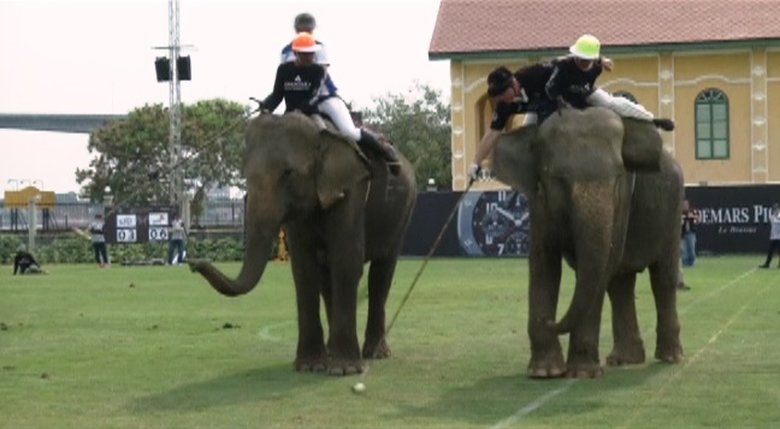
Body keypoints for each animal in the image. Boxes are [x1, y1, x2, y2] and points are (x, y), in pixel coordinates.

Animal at [190, 112, 417, 376]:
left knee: (381, 274)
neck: (320, 133)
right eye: (245, 175)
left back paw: (376, 354)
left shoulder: (351, 191)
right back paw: (331, 352)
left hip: (403, 213)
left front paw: (345, 370)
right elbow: (303, 268)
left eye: (288, 173)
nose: (193, 262)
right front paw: (310, 366)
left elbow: (346, 261)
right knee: (327, 280)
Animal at [491, 106, 684, 378]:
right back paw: (624, 359)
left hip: (673, 212)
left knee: (662, 278)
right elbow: (543, 264)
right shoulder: (538, 204)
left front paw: (582, 372)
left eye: (618, 177)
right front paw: (544, 372)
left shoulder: (622, 201)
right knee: (620, 284)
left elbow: (603, 266)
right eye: (558, 179)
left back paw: (670, 357)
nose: (550, 321)